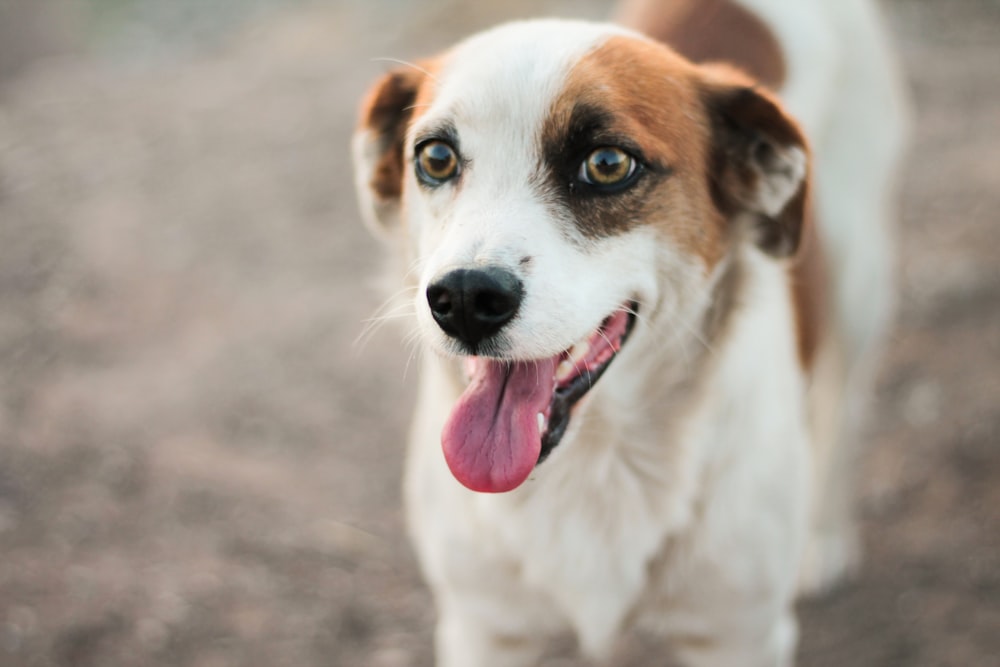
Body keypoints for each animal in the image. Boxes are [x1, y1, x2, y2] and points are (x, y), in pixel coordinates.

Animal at [350, 2, 908, 664]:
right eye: (435, 158)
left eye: (608, 164)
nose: (463, 299)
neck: (599, 460)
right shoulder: (484, 630)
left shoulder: (739, 634)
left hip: (861, 283)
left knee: (844, 407)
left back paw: (825, 537)